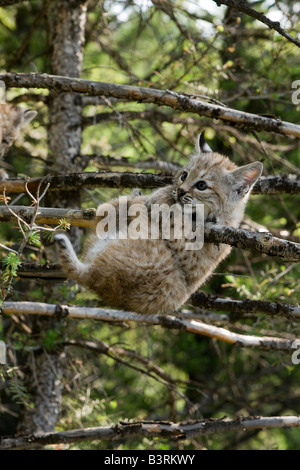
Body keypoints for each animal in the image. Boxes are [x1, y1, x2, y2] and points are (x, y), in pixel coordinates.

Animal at [55, 133, 262, 316]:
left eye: (202, 185)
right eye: (184, 175)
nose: (180, 191)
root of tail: (95, 281)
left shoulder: (189, 249)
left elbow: (174, 216)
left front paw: (163, 197)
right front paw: (163, 193)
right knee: (107, 210)